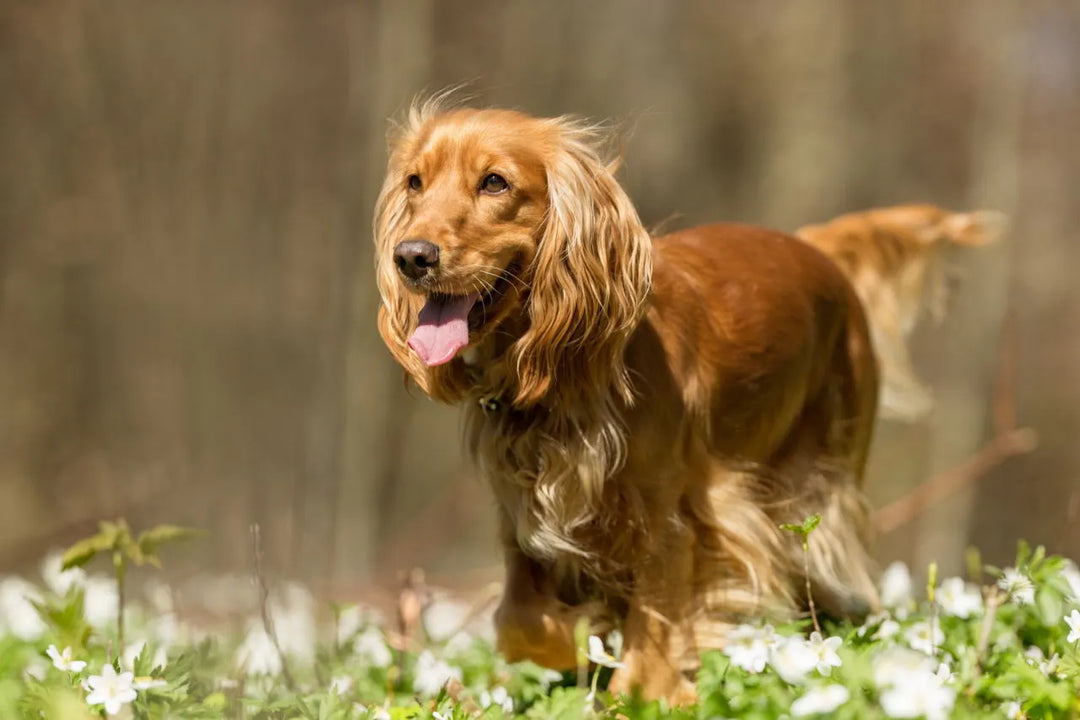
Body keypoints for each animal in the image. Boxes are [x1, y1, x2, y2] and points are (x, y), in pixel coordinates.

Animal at [375, 104, 881, 699]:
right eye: (415, 182)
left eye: (495, 182)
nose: (411, 257)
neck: (556, 383)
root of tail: (818, 249)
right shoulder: (521, 518)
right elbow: (525, 622)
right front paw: (584, 633)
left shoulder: (673, 517)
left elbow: (655, 624)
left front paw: (645, 689)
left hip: (815, 489)